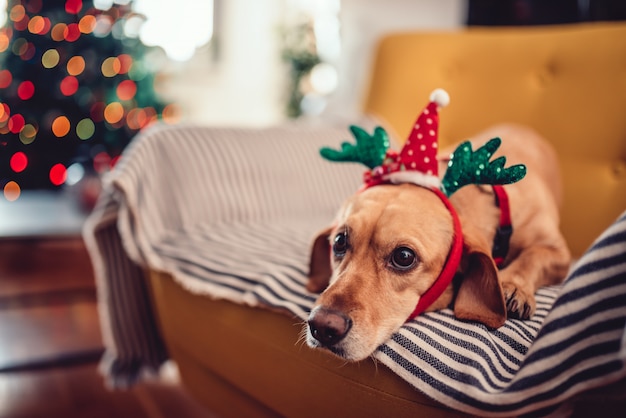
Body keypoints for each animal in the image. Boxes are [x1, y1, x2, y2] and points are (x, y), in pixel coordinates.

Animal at [304, 122, 572, 360]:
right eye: (339, 242)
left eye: (404, 257)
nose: (322, 327)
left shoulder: (559, 253)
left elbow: (534, 256)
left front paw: (514, 286)